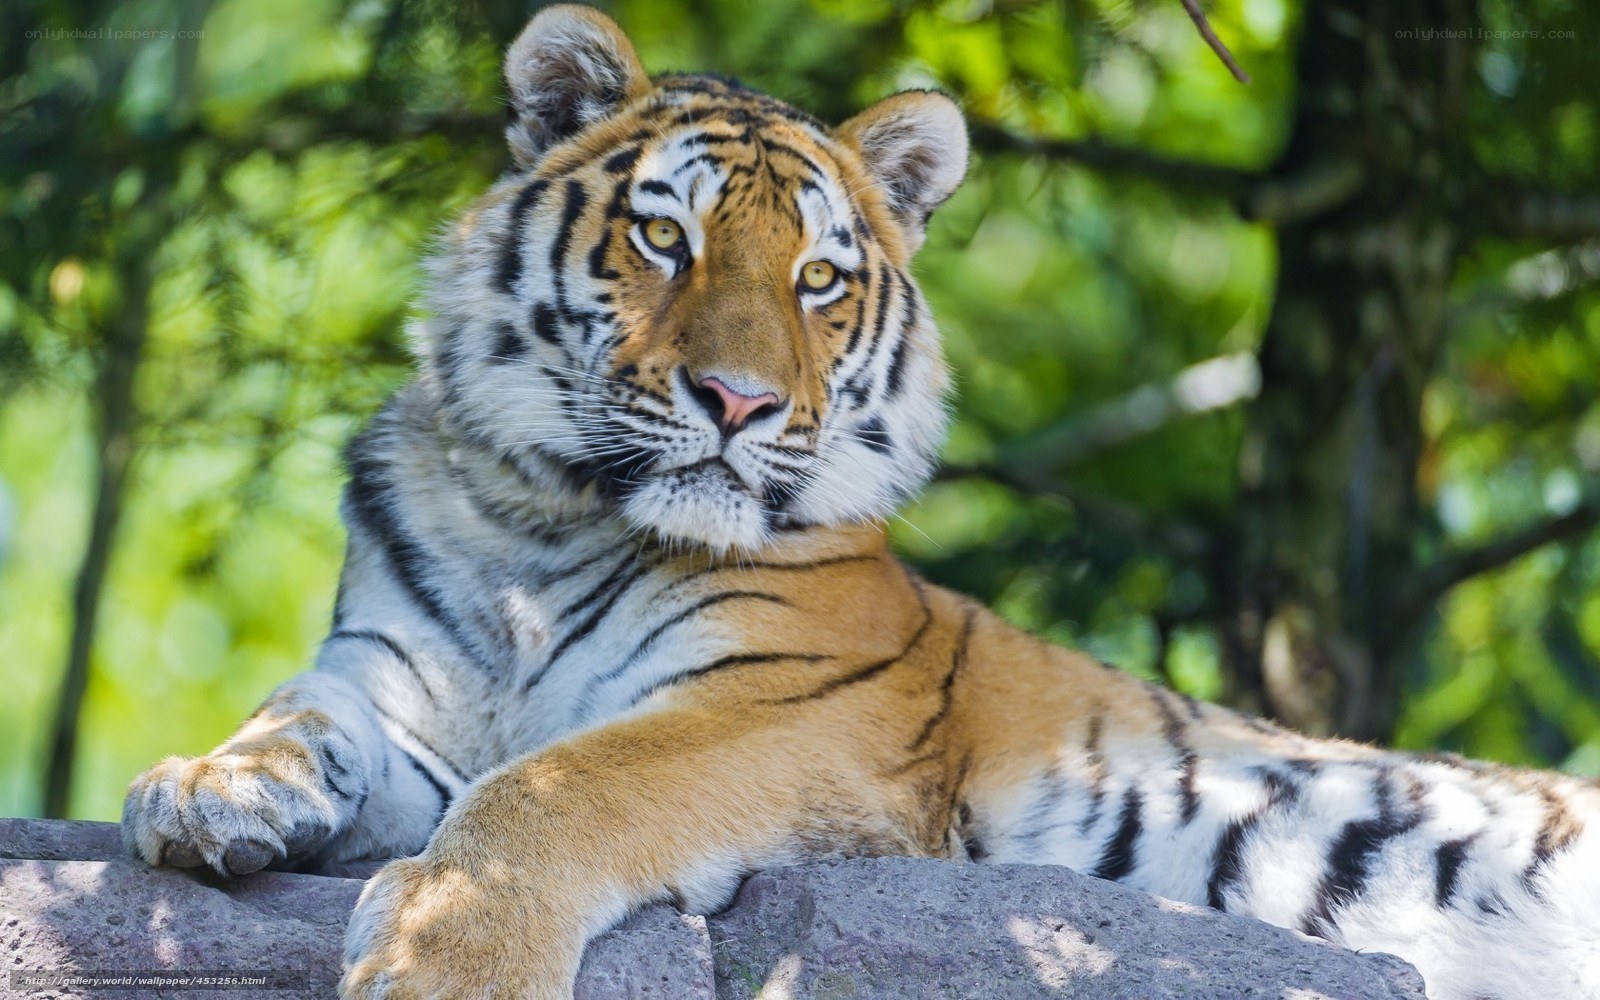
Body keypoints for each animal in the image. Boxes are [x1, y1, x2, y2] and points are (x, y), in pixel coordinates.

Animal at [118, 6, 1600, 999]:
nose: (738, 402)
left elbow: (551, 787)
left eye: (818, 279)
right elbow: (298, 713)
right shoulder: (391, 684)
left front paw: (444, 956)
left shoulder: (784, 712)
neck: (536, 523)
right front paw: (205, 790)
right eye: (665, 236)